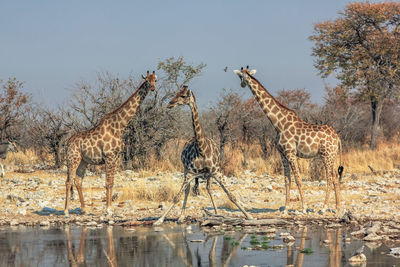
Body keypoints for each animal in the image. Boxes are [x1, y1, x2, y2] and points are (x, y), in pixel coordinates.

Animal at [64, 70, 156, 217]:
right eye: (147, 80)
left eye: (155, 80)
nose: (152, 88)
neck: (119, 126)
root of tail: (68, 142)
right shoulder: (109, 156)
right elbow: (107, 183)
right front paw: (108, 210)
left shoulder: (116, 157)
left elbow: (112, 182)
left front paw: (110, 208)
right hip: (73, 158)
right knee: (68, 181)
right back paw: (66, 211)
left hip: (84, 161)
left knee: (78, 181)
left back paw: (84, 209)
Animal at [153, 86, 253, 226]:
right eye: (176, 94)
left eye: (183, 96)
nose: (170, 104)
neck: (202, 149)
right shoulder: (190, 173)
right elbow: (176, 197)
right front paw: (159, 220)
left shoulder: (217, 172)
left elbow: (230, 195)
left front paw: (249, 216)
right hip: (185, 170)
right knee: (188, 189)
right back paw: (181, 217)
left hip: (209, 175)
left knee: (209, 188)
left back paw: (216, 213)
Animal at [234, 67, 344, 216]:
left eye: (242, 76)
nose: (242, 84)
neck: (278, 124)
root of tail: (337, 138)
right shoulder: (283, 154)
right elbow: (287, 180)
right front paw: (286, 208)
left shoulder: (291, 153)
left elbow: (298, 179)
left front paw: (303, 207)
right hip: (332, 156)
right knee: (335, 178)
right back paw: (337, 208)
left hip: (326, 155)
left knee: (330, 177)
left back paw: (323, 208)